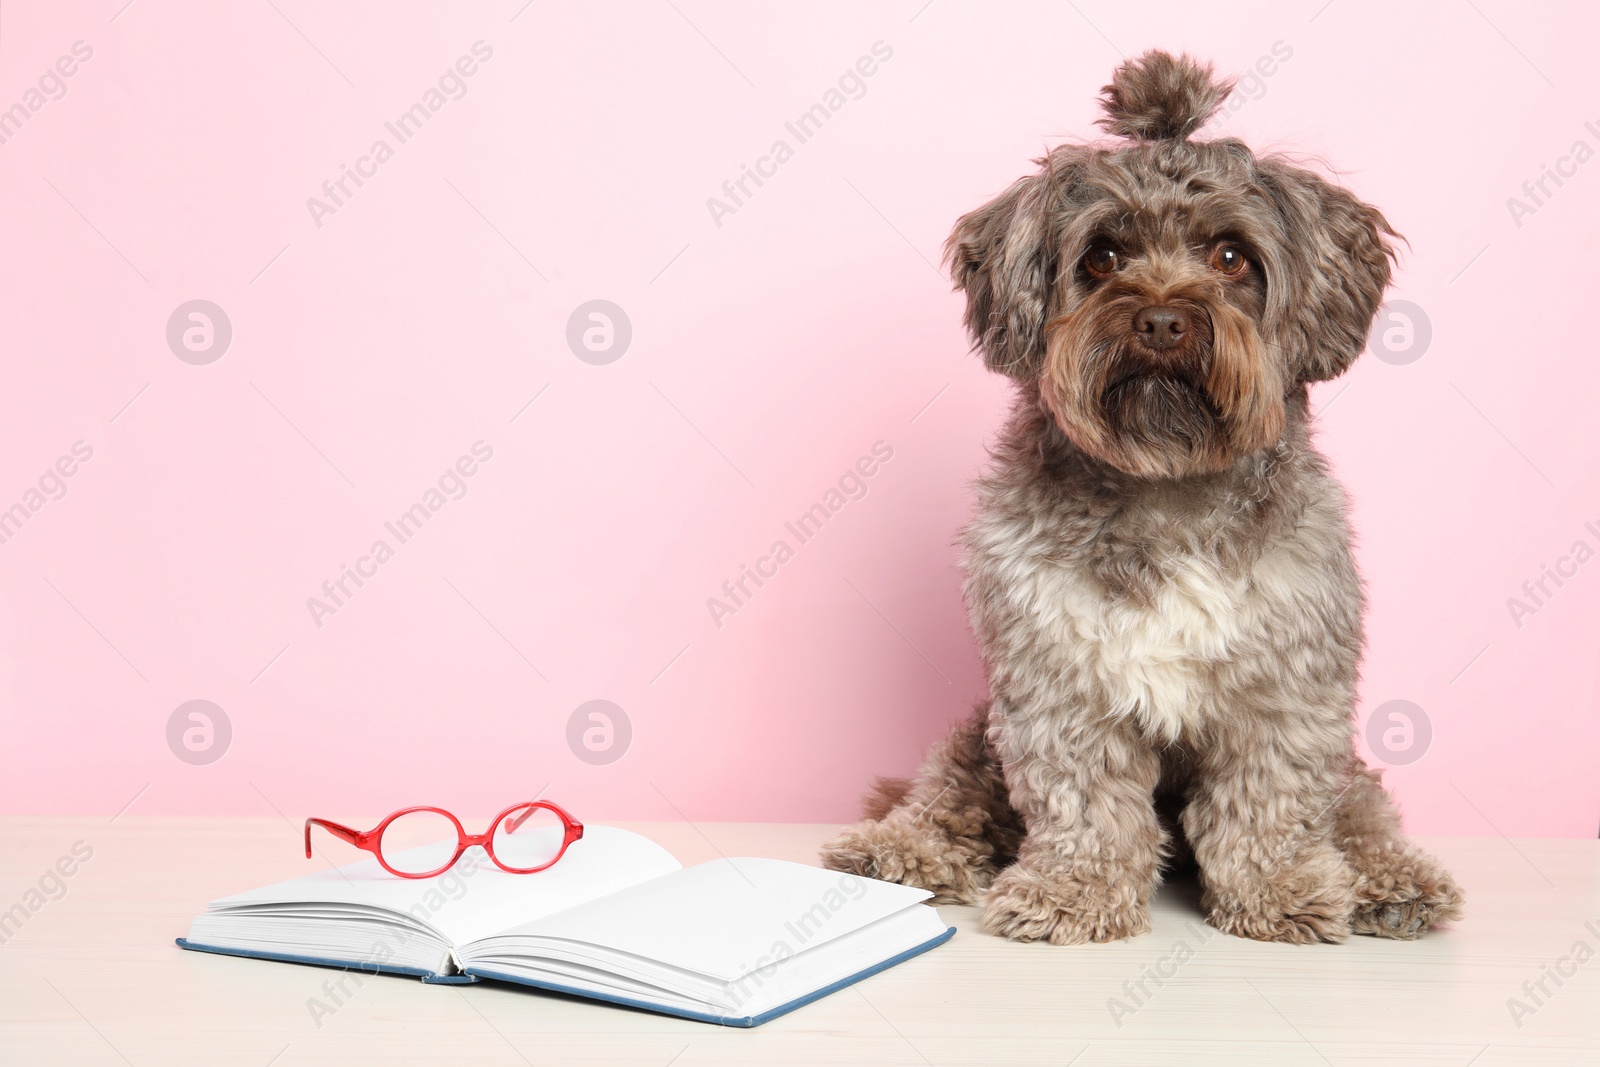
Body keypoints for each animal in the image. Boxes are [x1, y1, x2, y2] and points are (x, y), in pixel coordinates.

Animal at [825, 54, 1465, 947]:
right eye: (1102, 255)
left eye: (1231, 256)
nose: (1161, 320)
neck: (1168, 485)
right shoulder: (1057, 678)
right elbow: (1082, 800)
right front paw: (1075, 889)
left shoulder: (1287, 684)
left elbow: (1269, 799)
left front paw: (1276, 889)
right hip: (979, 732)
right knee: (950, 786)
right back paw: (899, 848)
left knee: (1362, 807)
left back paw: (1387, 880)